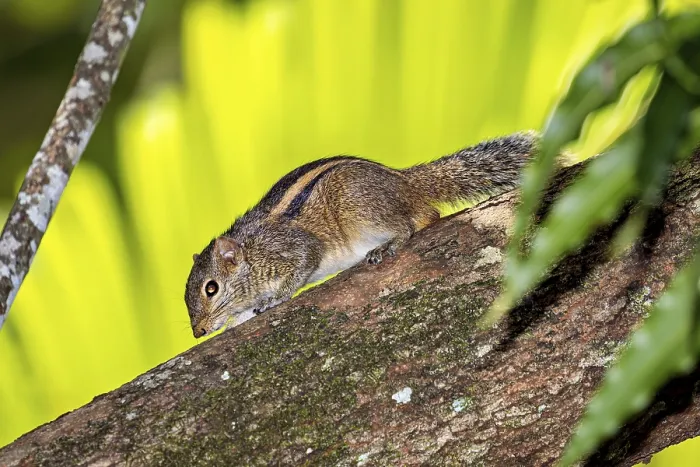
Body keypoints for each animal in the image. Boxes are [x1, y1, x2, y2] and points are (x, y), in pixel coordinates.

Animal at [184, 132, 537, 338]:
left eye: (211, 288)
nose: (198, 332)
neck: (250, 251)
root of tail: (405, 182)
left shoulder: (291, 247)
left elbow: (301, 266)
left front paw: (275, 298)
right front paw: (239, 317)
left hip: (356, 207)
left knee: (418, 221)